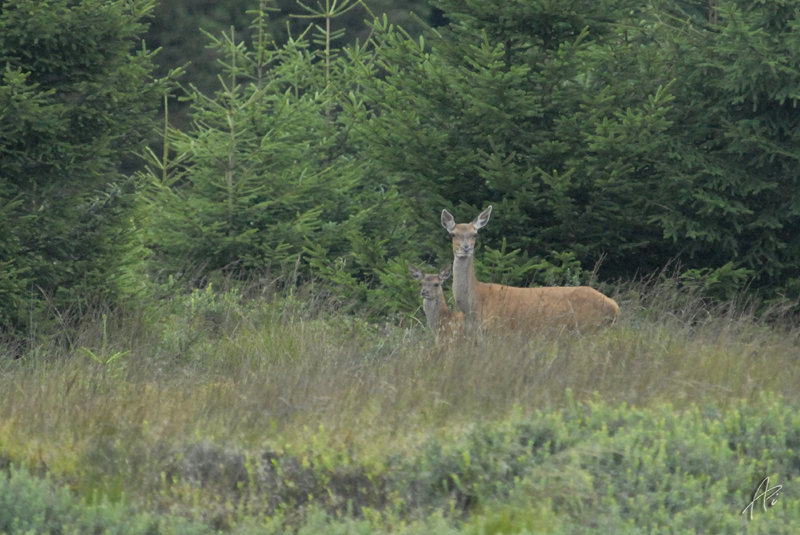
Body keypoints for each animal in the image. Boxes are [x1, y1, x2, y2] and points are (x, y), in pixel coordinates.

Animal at [441, 206, 619, 336]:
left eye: (475, 234)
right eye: (453, 234)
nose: (466, 248)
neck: (475, 303)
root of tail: (615, 306)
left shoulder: (499, 330)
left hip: (590, 328)